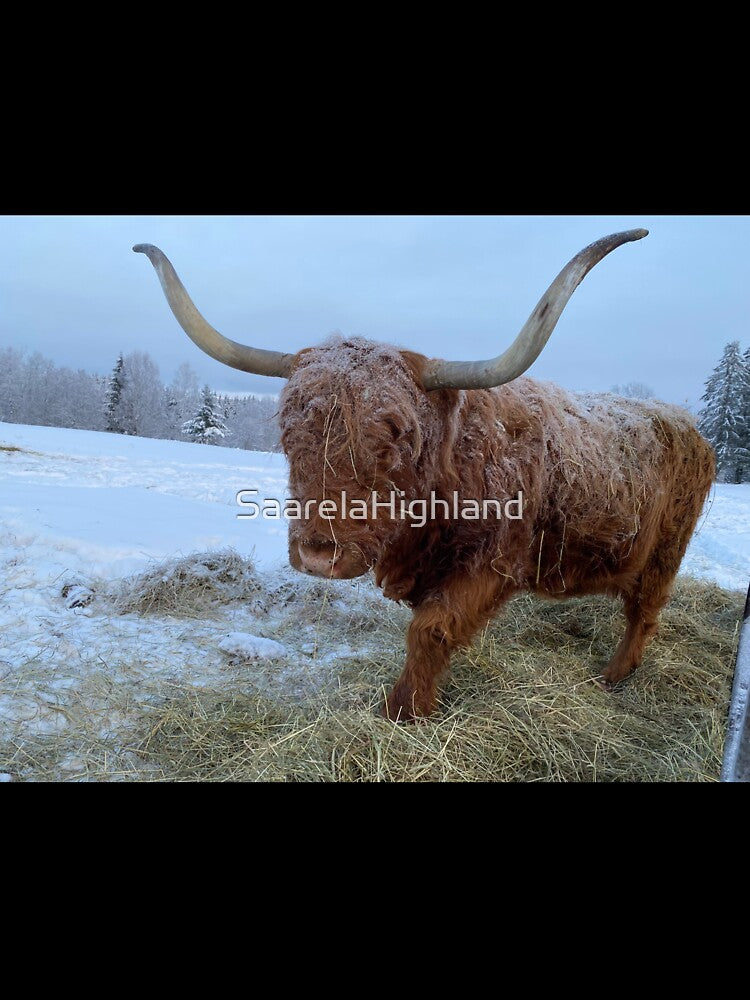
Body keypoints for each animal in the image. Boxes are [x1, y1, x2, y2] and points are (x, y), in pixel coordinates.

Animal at [134, 230, 715, 721]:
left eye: (397, 436)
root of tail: (691, 430)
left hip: (665, 552)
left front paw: (403, 710)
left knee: (645, 611)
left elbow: (430, 631)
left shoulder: (492, 565)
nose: (319, 556)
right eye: (290, 429)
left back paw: (614, 676)